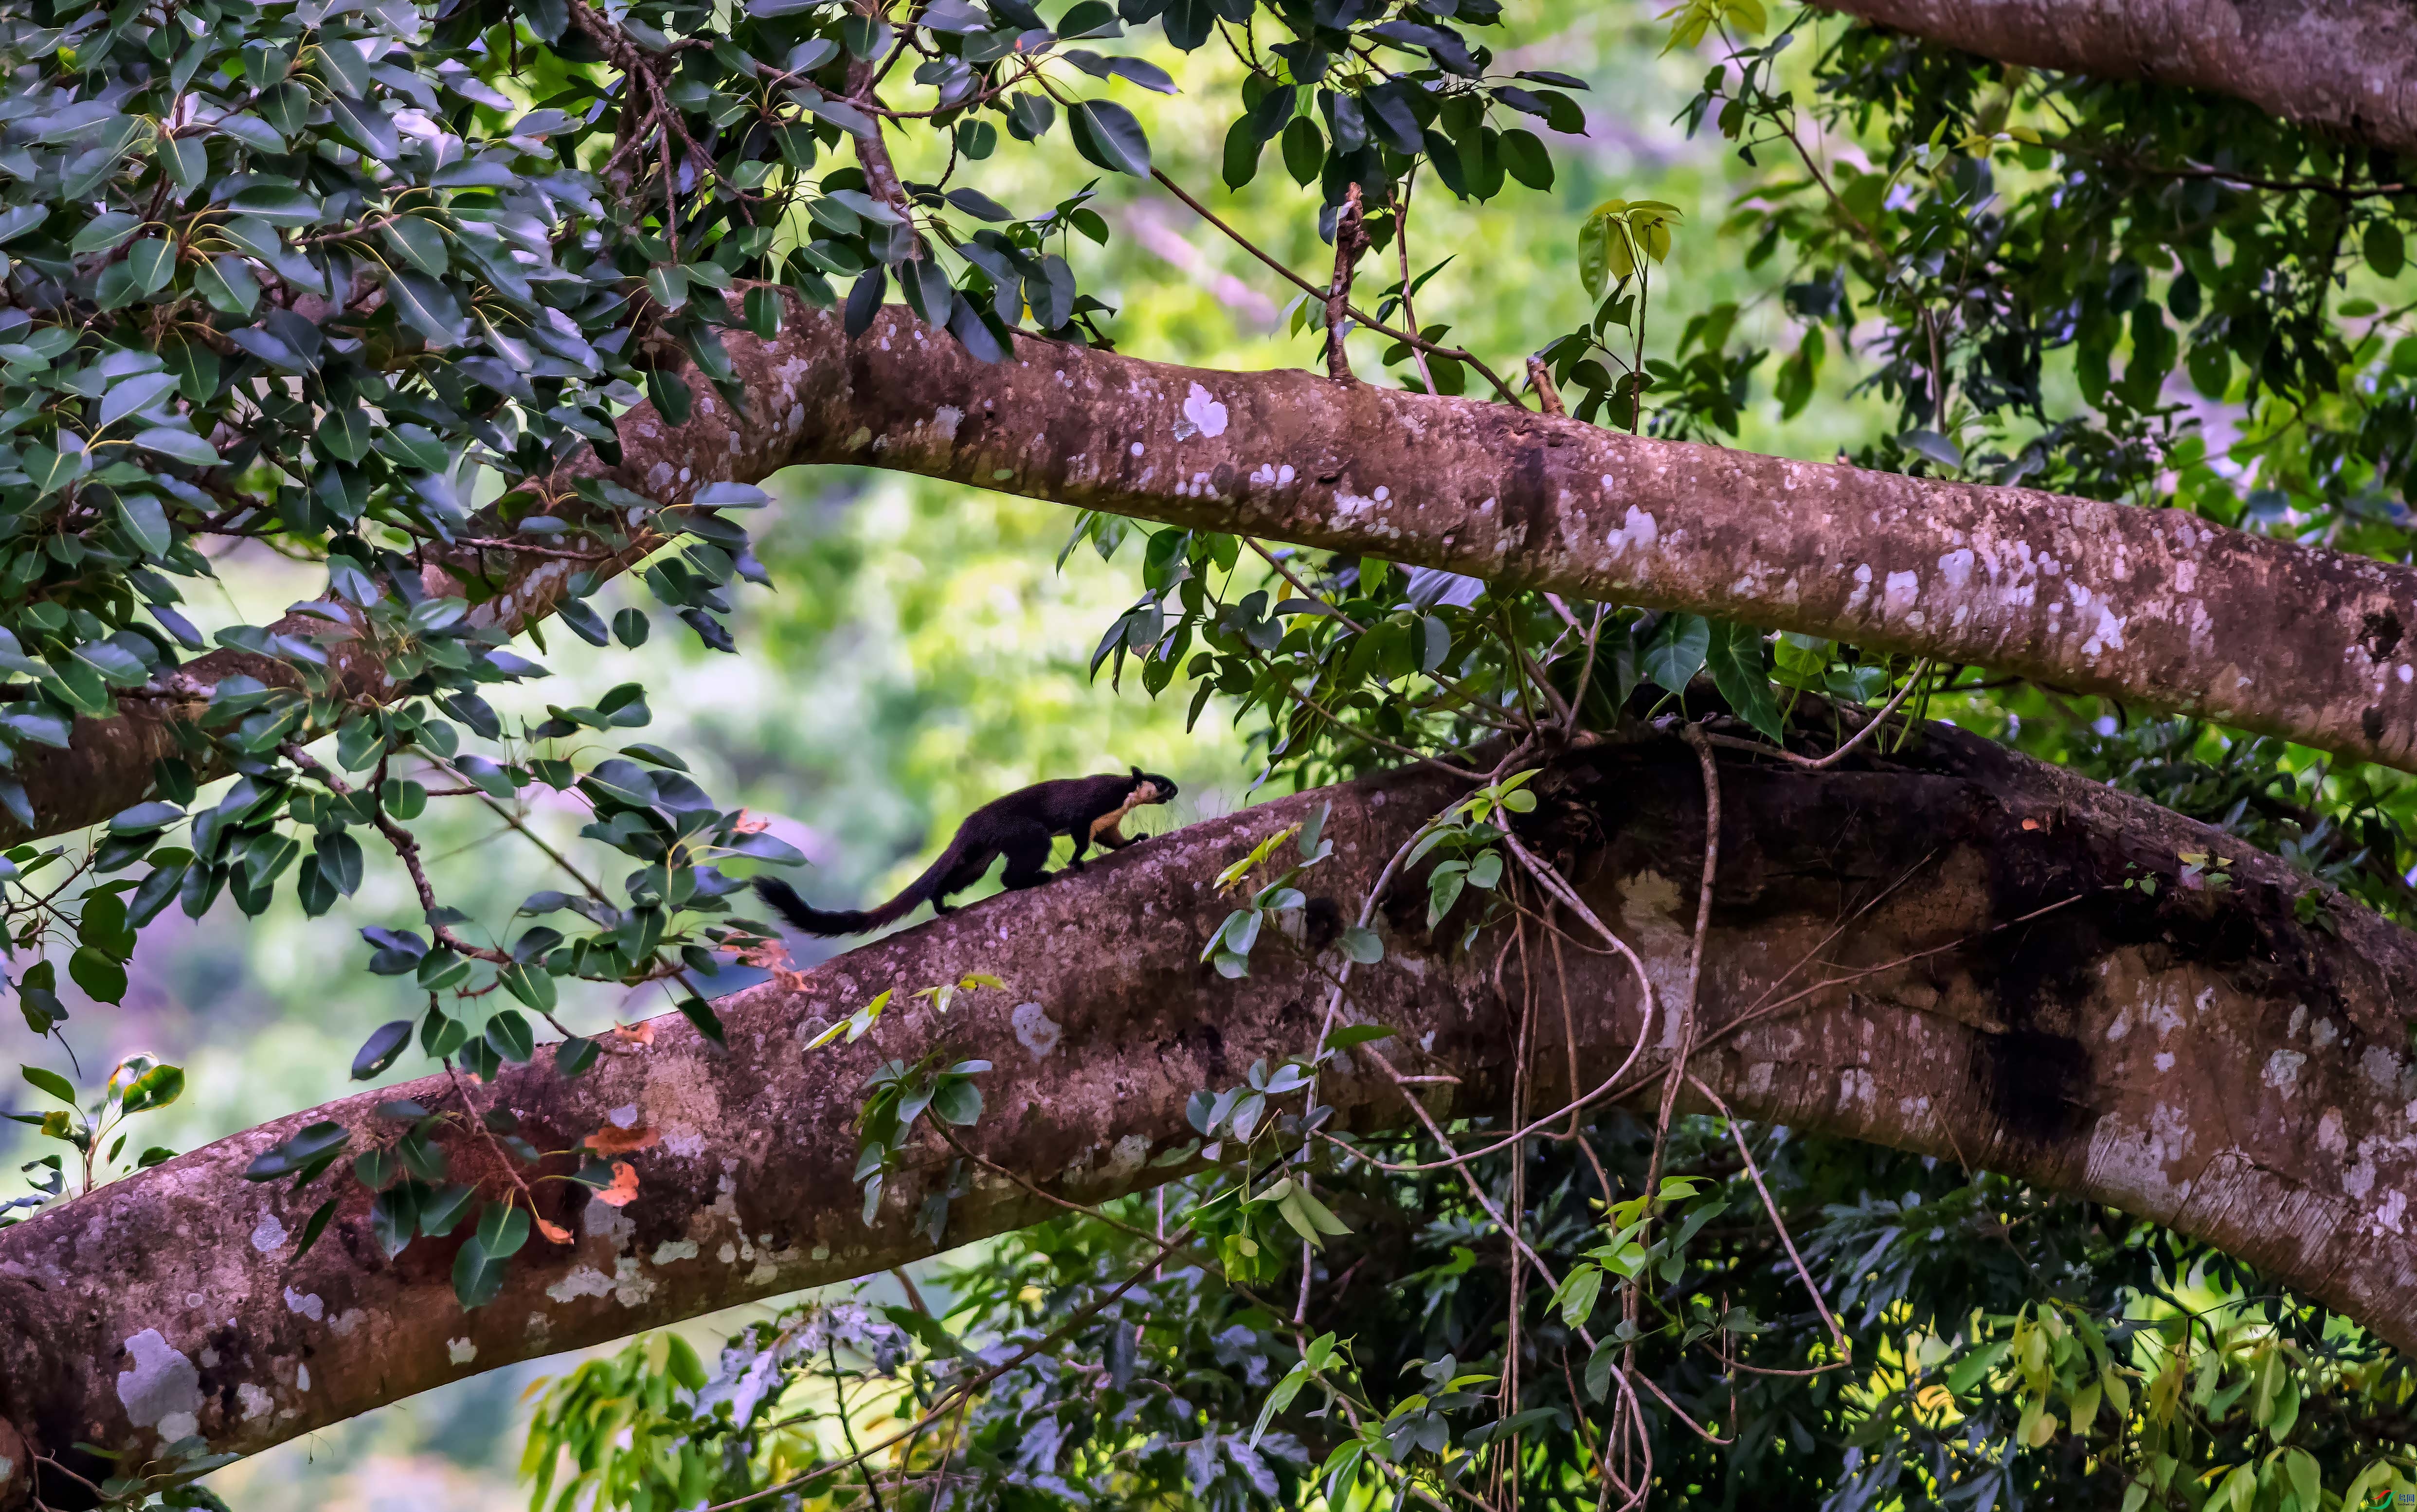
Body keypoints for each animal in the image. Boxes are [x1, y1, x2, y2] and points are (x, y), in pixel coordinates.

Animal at [752, 767, 1179, 938]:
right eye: (1161, 782)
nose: (1174, 789)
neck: (1123, 794)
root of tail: (967, 827)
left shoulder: (1107, 823)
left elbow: (1114, 840)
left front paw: (1137, 840)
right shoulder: (1087, 811)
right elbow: (1079, 839)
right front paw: (1076, 863)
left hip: (979, 859)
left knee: (952, 882)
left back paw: (944, 908)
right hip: (1026, 834)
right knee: (1010, 876)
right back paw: (1035, 878)